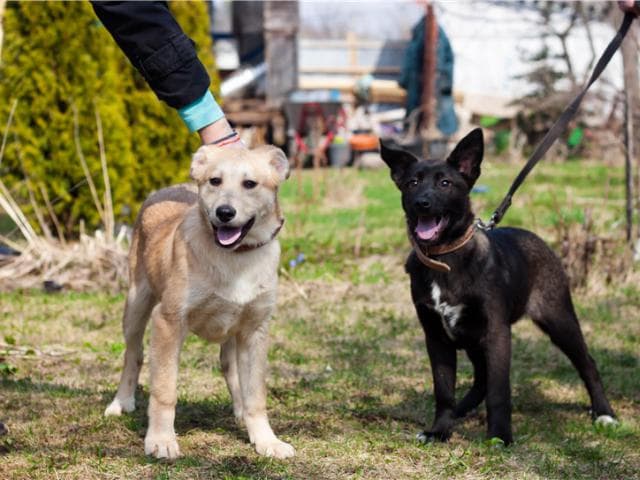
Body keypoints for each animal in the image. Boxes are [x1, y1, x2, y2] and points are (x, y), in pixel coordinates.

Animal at [105, 144, 296, 460]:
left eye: (250, 184)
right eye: (214, 181)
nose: (224, 212)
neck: (234, 258)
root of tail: (166, 189)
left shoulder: (254, 331)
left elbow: (255, 395)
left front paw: (266, 440)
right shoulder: (167, 321)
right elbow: (164, 390)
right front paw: (161, 440)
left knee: (229, 367)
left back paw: (239, 412)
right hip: (135, 305)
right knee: (133, 355)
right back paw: (121, 402)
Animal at [380, 129, 616, 444]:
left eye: (445, 183)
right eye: (412, 183)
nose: (422, 203)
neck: (445, 259)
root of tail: (538, 240)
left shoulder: (497, 332)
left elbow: (499, 390)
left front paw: (501, 436)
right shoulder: (437, 337)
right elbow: (444, 391)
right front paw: (440, 430)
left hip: (558, 319)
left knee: (587, 363)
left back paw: (604, 413)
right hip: (473, 340)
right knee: (480, 379)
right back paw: (461, 410)